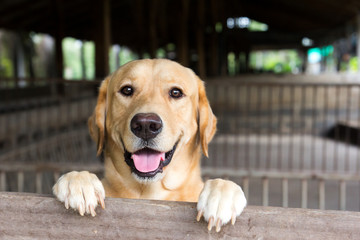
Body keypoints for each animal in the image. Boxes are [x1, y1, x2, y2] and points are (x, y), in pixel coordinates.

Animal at [52, 59, 245, 232]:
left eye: (176, 92)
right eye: (127, 90)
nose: (145, 125)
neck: (150, 192)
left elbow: (223, 185)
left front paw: (221, 195)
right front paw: (79, 182)